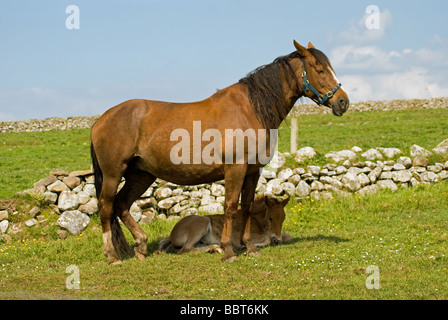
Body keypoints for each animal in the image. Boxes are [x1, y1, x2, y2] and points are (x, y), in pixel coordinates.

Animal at [156, 195, 292, 255]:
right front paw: (244, 247)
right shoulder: (241, 236)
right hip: (202, 222)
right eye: (270, 218)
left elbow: (287, 236)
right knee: (185, 249)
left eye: (284, 218)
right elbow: (267, 238)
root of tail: (172, 233)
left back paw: (215, 247)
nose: (277, 239)